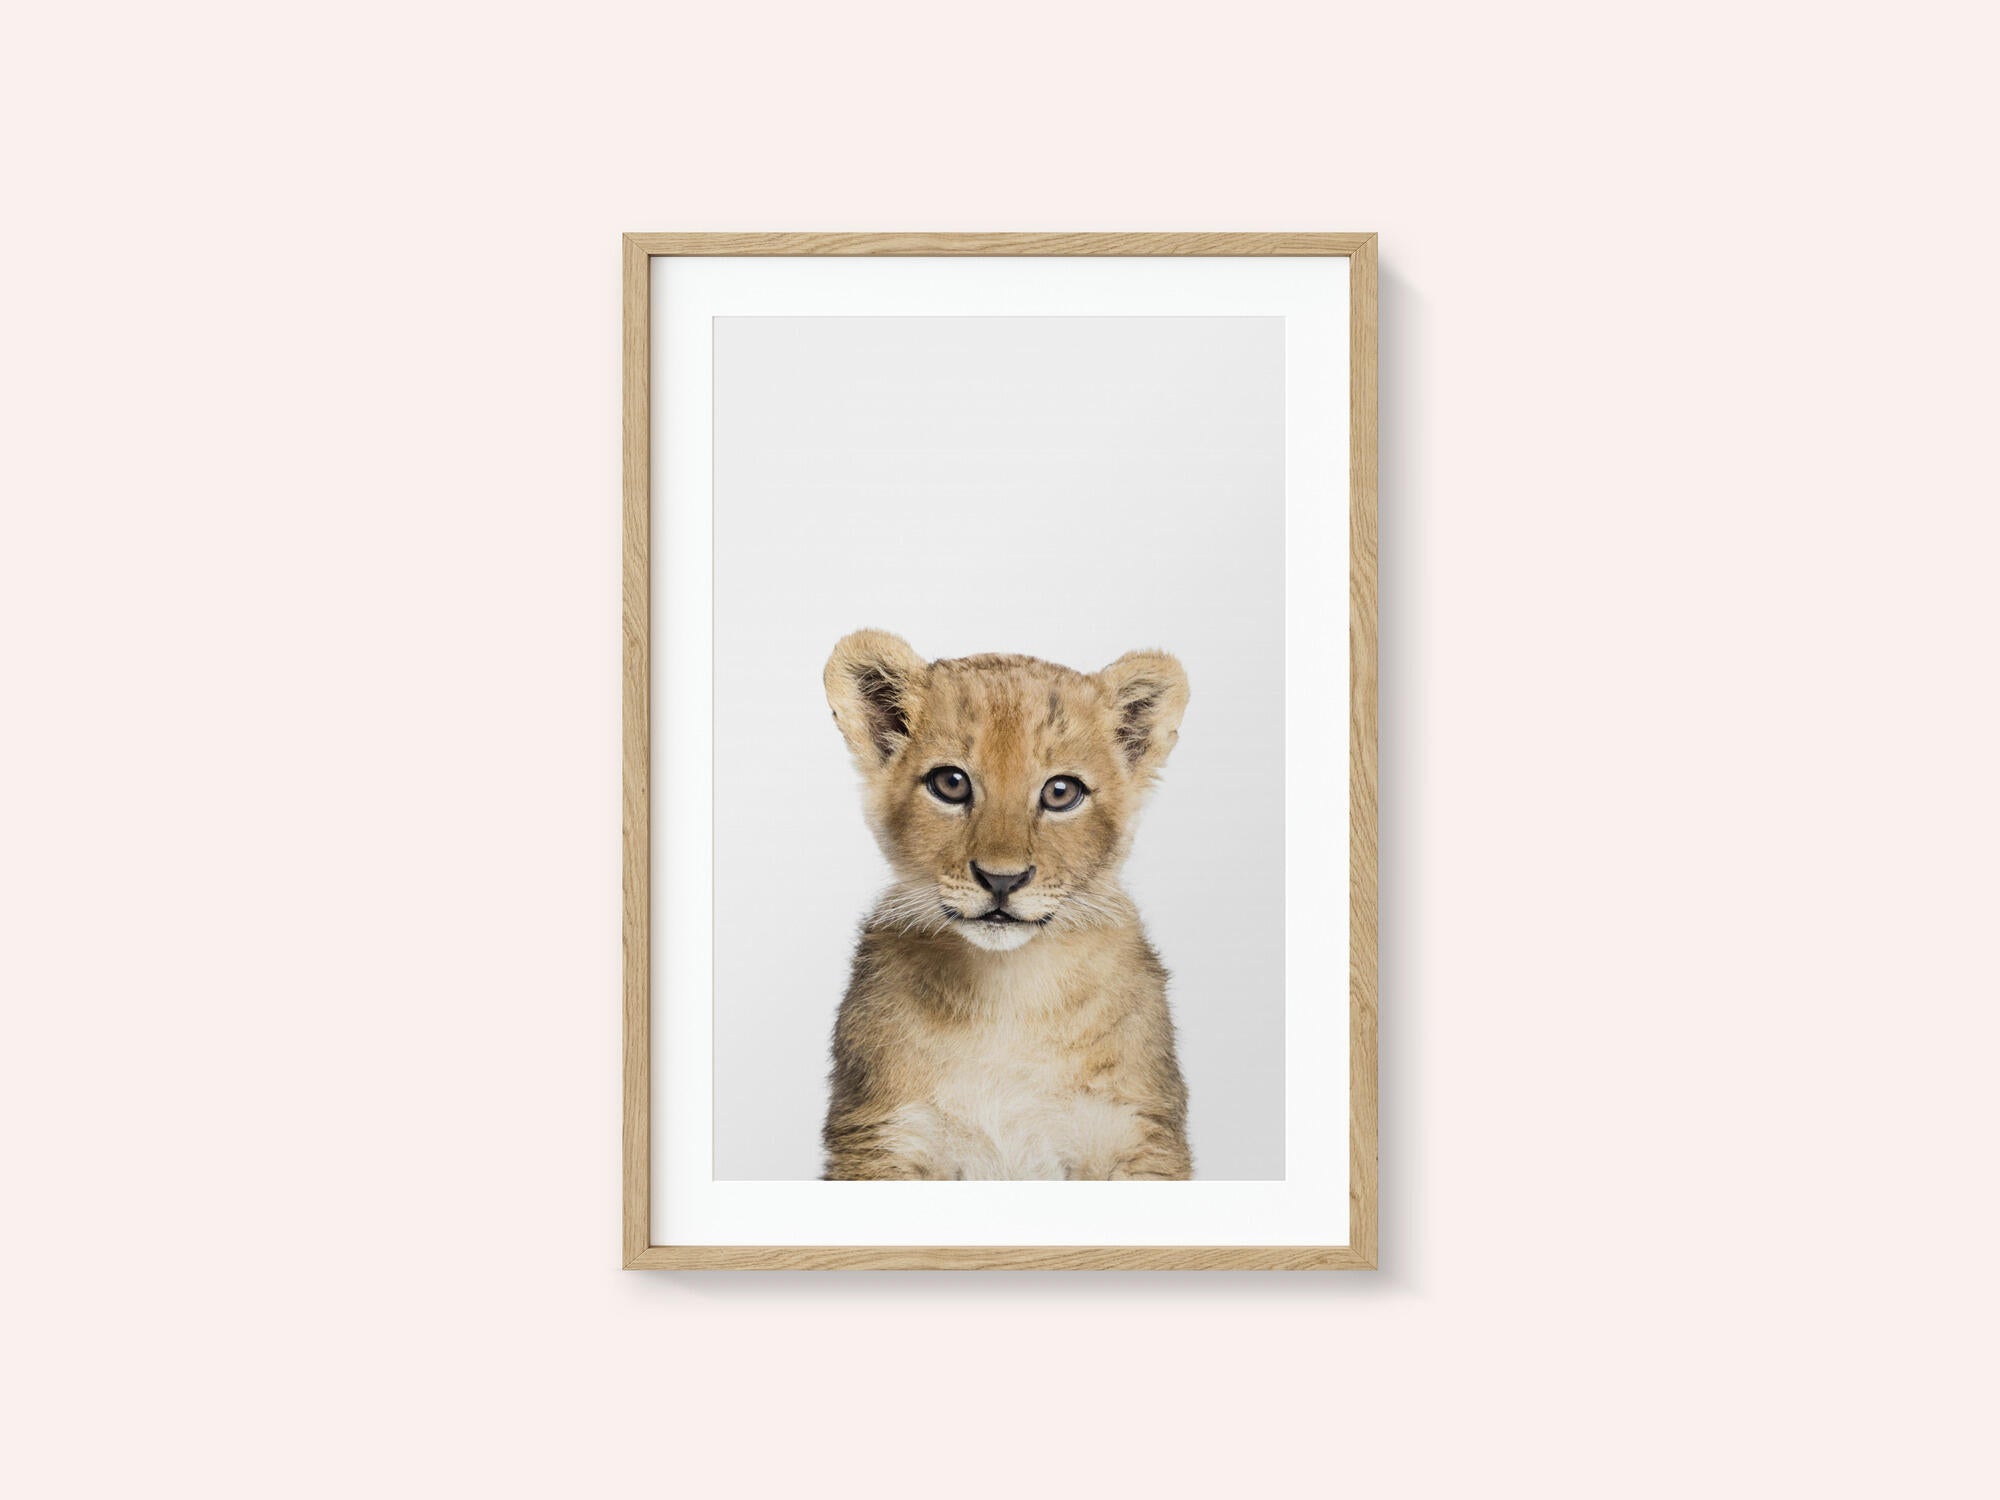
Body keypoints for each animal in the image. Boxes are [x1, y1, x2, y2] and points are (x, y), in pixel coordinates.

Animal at [819, 630, 1194, 1180]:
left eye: (1061, 792)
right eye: (950, 783)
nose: (1002, 879)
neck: (1008, 993)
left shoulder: (1136, 1134)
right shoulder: (883, 1136)